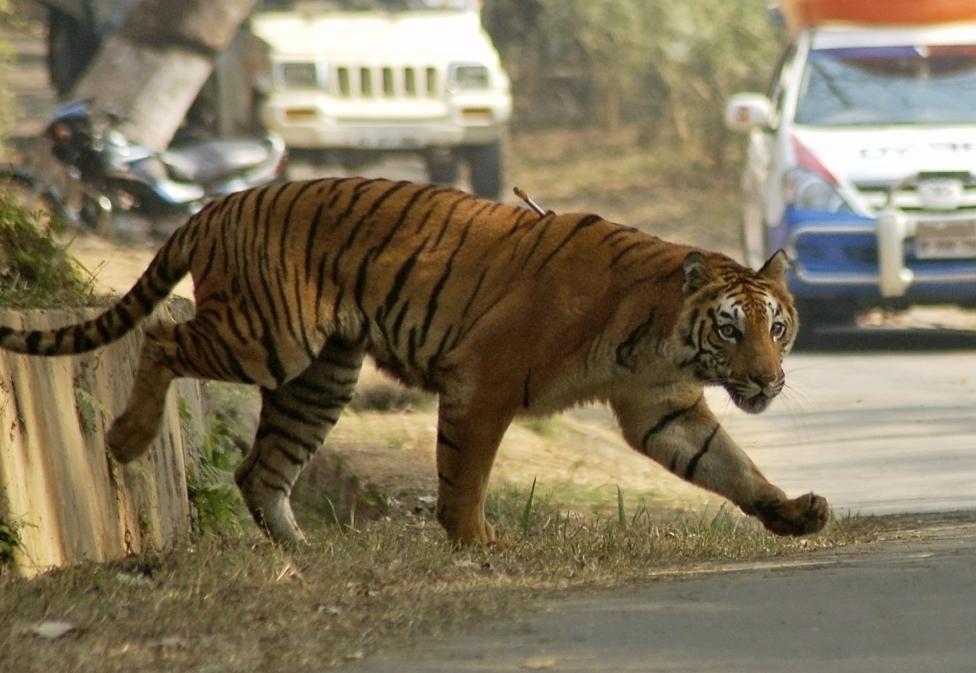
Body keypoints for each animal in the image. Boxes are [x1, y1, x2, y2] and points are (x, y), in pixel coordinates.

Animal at [0, 177, 832, 544]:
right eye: (730, 330)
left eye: (776, 326)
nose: (766, 378)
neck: (660, 332)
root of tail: (216, 204)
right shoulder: (484, 382)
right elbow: (465, 472)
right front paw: (475, 541)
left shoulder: (662, 406)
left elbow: (730, 466)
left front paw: (792, 511)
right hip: (268, 338)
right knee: (162, 340)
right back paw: (125, 438)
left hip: (319, 374)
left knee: (259, 469)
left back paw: (306, 554)